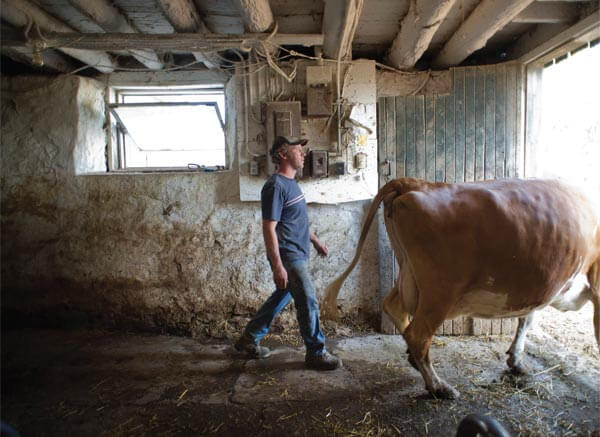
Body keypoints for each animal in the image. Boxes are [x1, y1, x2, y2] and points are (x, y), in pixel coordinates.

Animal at [324, 177, 600, 398]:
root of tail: (414, 183)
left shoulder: (537, 289)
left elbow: (527, 318)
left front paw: (516, 360)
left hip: (408, 274)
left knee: (394, 308)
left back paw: (415, 362)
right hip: (440, 290)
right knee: (418, 335)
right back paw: (439, 387)